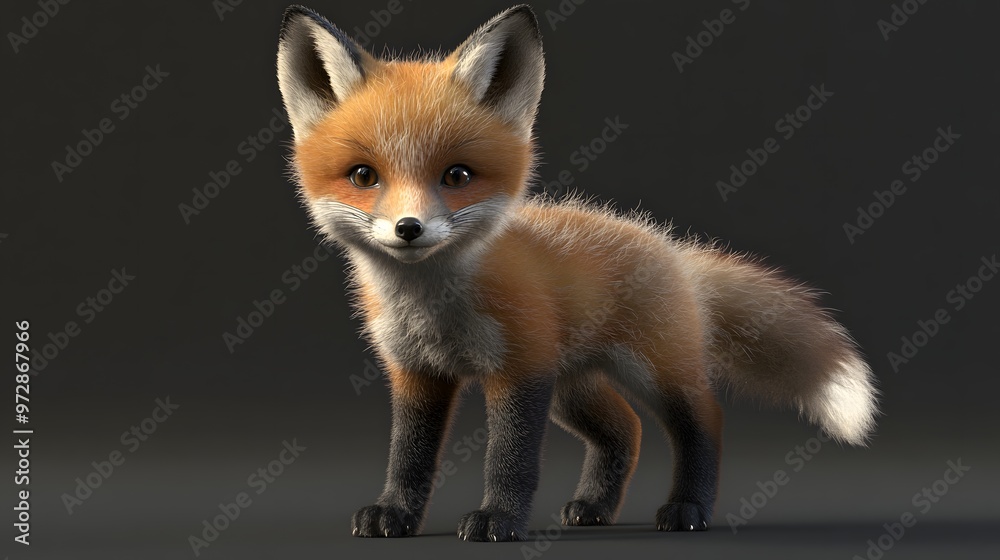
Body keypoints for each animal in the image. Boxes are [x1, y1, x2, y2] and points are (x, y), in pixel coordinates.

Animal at [275, 4, 878, 542]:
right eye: (363, 175)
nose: (408, 228)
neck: (435, 311)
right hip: (573, 385)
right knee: (625, 430)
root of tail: (672, 249)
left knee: (705, 419)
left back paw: (688, 508)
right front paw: (395, 513)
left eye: (457, 175)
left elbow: (511, 458)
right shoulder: (416, 371)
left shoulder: (521, 369)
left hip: (654, 370)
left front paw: (499, 520)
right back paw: (594, 507)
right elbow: (408, 456)